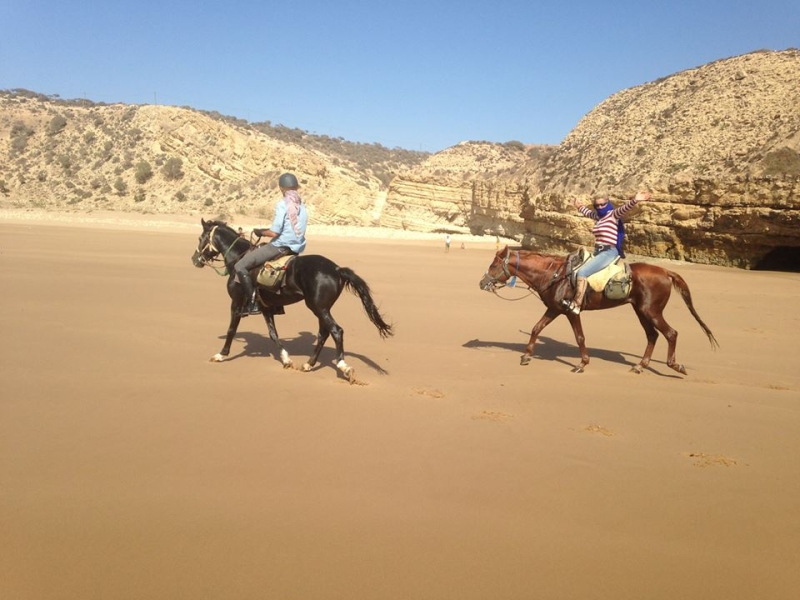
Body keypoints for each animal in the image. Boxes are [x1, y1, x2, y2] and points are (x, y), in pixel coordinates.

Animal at [194, 218, 394, 382]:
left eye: (200, 238)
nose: (194, 259)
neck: (238, 258)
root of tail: (337, 269)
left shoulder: (236, 303)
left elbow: (231, 330)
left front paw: (221, 355)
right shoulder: (266, 308)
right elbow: (273, 334)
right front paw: (286, 359)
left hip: (318, 307)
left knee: (336, 331)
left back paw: (344, 367)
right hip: (321, 308)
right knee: (323, 333)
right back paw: (309, 364)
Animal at [482, 246, 720, 372]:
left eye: (493, 266)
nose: (482, 283)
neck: (554, 274)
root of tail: (666, 271)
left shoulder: (570, 311)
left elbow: (579, 337)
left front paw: (582, 363)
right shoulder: (554, 309)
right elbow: (536, 328)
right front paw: (526, 356)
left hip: (651, 312)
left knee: (670, 333)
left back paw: (674, 365)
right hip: (641, 311)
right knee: (652, 336)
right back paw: (640, 365)